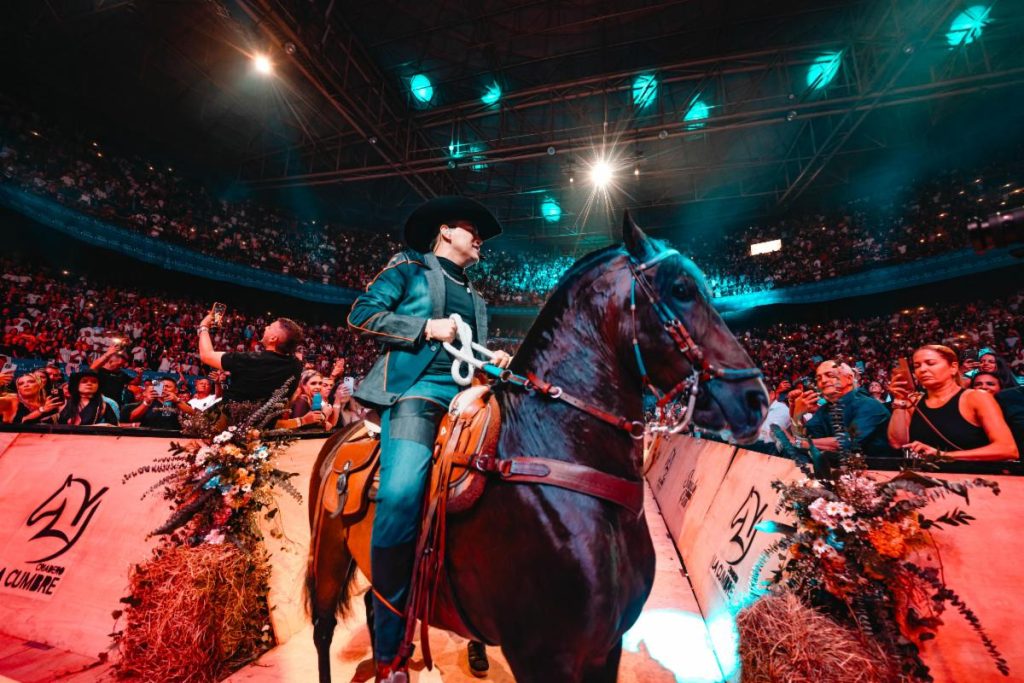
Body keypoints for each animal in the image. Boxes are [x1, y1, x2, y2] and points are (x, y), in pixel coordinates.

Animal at [307, 214, 765, 683]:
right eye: (681, 290)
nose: (755, 399)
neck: (558, 458)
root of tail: (345, 434)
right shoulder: (541, 655)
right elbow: (368, 310)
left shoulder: (606, 648)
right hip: (329, 554)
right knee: (325, 628)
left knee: (376, 604)